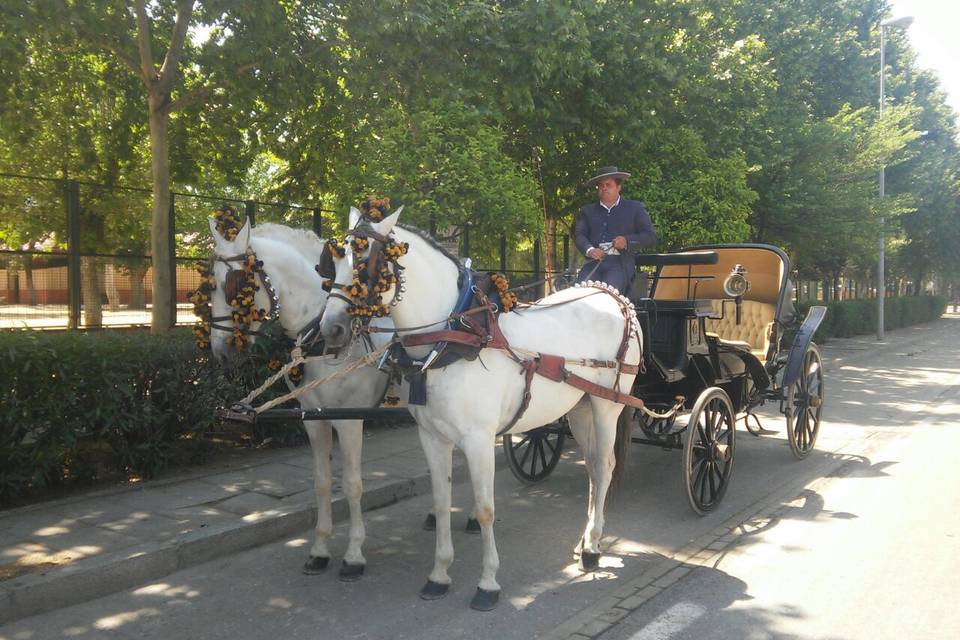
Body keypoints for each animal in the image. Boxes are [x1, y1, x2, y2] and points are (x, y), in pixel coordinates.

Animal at [318, 209, 640, 608]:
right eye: (332, 262)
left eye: (364, 264)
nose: (330, 329)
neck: (453, 336)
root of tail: (613, 297)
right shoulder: (432, 437)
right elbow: (442, 503)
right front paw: (439, 575)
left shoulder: (479, 440)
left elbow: (486, 510)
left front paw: (487, 583)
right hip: (579, 407)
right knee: (594, 468)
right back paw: (588, 542)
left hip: (607, 404)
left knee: (605, 465)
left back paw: (594, 548)